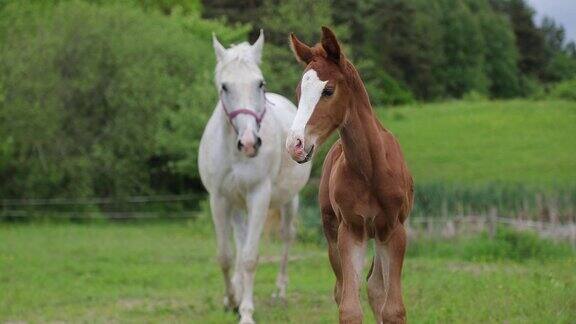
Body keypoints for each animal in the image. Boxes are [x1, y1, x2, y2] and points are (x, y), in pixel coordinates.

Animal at [198, 31, 310, 324]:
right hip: (238, 205)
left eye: (260, 83)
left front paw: (246, 312)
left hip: (289, 201)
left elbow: (249, 257)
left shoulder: (259, 196)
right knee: (240, 241)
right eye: (224, 87)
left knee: (286, 237)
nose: (249, 144)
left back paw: (280, 292)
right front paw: (231, 300)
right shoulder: (220, 199)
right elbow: (226, 256)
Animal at [286, 26, 412, 322]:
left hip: (378, 235)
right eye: (299, 91)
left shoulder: (394, 230)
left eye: (328, 90)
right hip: (332, 231)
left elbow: (393, 308)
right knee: (345, 288)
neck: (372, 170)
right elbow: (350, 308)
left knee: (376, 287)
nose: (295, 144)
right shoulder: (351, 230)